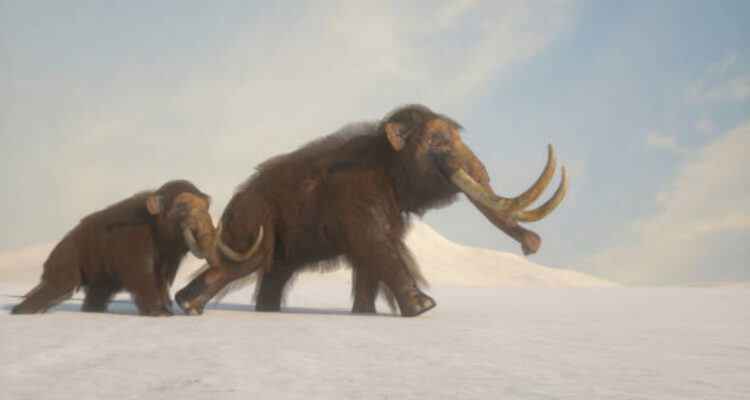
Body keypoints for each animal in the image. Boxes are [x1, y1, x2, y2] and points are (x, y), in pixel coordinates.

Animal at [12, 180, 217, 316]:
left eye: (206, 207)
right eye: (182, 206)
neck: (154, 226)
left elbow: (160, 280)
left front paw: (166, 311)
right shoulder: (134, 245)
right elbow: (145, 276)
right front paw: (159, 313)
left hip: (101, 279)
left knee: (96, 295)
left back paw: (92, 312)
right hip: (65, 261)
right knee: (57, 286)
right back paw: (20, 311)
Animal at [176, 104, 567, 317]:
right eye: (439, 142)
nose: (532, 245)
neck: (386, 152)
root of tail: (230, 203)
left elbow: (370, 258)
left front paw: (366, 312)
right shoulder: (359, 196)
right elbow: (379, 247)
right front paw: (424, 307)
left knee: (274, 274)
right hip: (252, 224)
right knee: (242, 265)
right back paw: (189, 305)